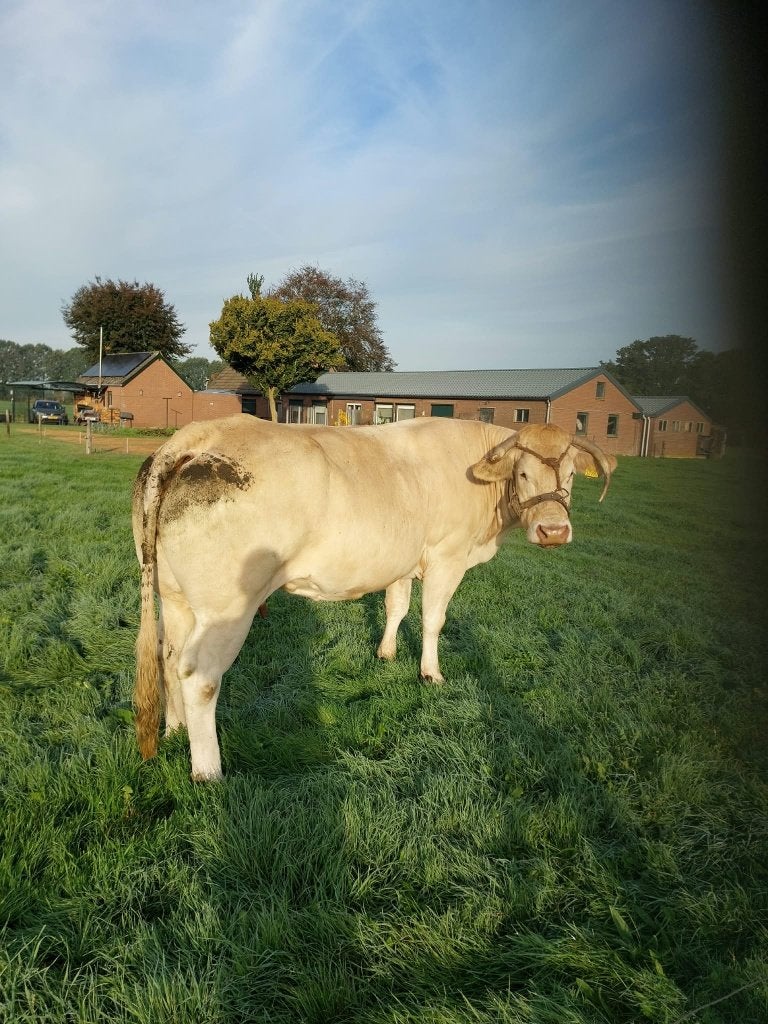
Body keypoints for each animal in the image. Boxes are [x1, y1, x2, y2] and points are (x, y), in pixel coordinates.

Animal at [133, 416, 612, 779]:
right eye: (524, 473)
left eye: (572, 475)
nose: (554, 532)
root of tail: (196, 435)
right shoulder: (447, 556)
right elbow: (433, 619)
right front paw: (430, 674)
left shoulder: (401, 561)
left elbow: (396, 607)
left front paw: (386, 653)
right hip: (226, 608)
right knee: (199, 676)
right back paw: (208, 771)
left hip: (175, 598)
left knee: (168, 656)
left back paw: (175, 731)